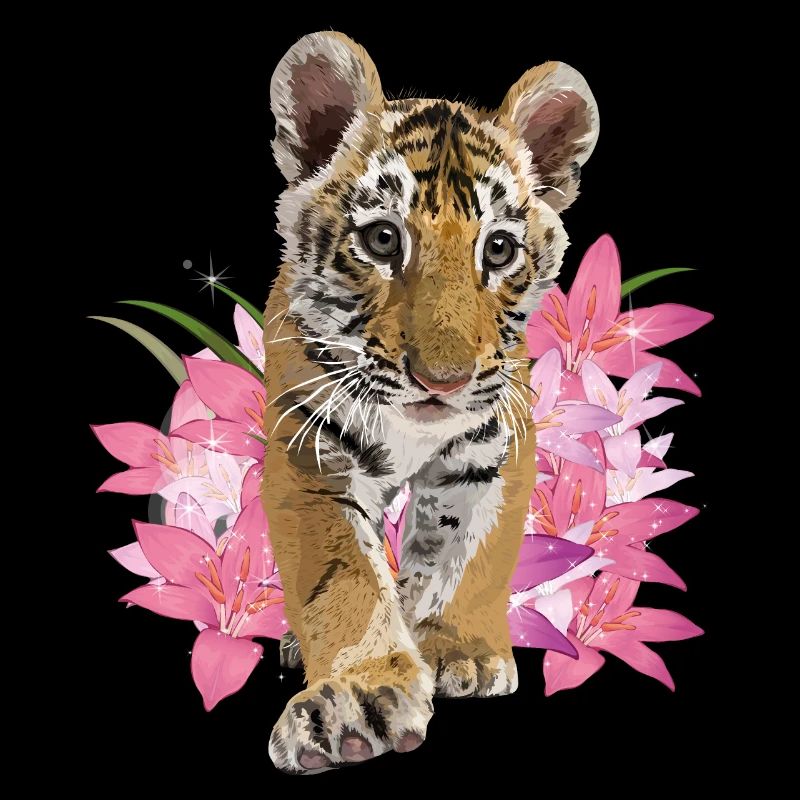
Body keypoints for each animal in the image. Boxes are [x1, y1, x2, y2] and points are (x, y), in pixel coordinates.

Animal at [262, 31, 598, 773]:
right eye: (383, 239)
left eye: (497, 249)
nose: (442, 381)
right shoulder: (310, 453)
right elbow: (346, 577)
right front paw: (356, 699)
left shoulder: (493, 446)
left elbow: (467, 553)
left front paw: (459, 650)